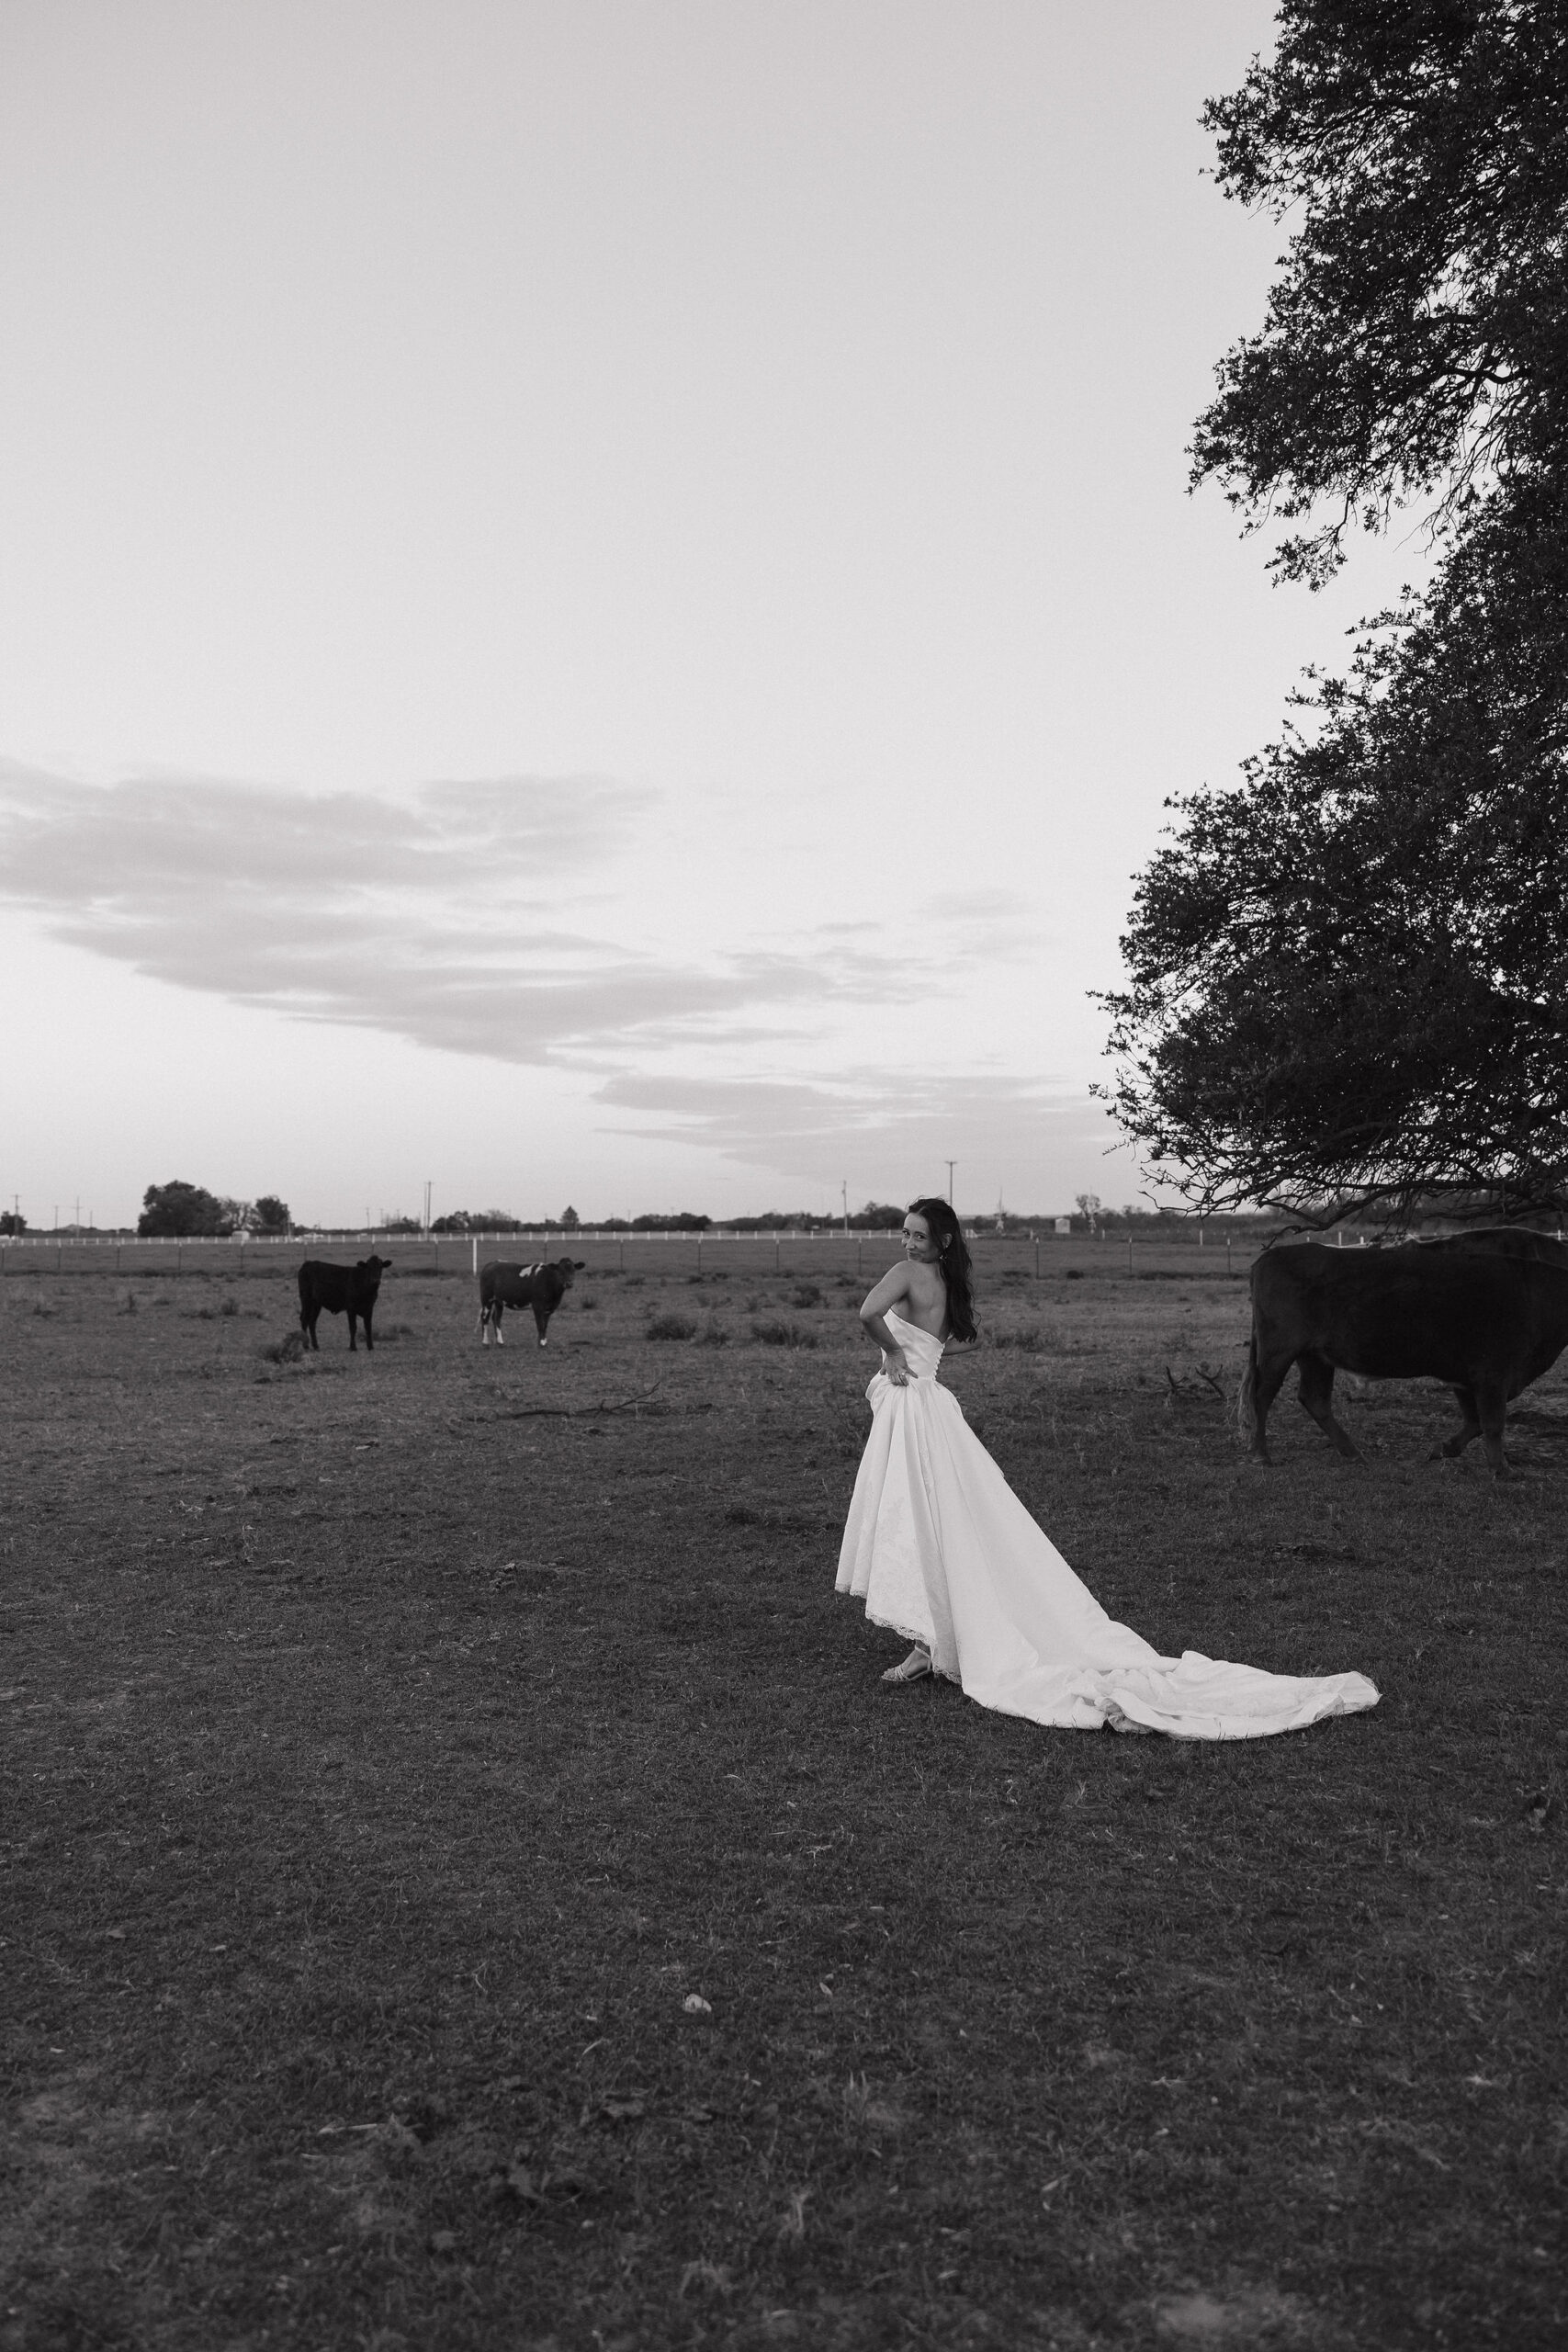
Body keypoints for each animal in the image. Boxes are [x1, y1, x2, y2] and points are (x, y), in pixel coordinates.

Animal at [1241, 1232, 1568, 1467]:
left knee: (1314, 1399)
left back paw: (1353, 1453)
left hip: (1315, 1356)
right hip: (1279, 1352)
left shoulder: (1467, 1377)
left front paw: (1442, 1449)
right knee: (1262, 1395)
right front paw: (1503, 1470)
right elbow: (1492, 1423)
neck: (1535, 1292)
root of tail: (1269, 1256)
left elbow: (1475, 1422)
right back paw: (1261, 1454)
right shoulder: (1492, 1375)